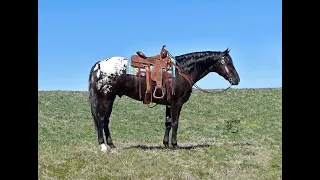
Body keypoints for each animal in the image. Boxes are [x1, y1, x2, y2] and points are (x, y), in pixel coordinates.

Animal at [89, 48, 239, 152]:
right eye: (228, 62)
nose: (236, 80)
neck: (182, 71)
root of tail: (98, 66)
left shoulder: (169, 104)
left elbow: (167, 123)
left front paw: (166, 144)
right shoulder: (176, 103)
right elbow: (175, 123)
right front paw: (175, 145)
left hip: (110, 99)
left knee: (105, 121)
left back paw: (112, 145)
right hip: (106, 98)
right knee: (101, 120)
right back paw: (103, 146)